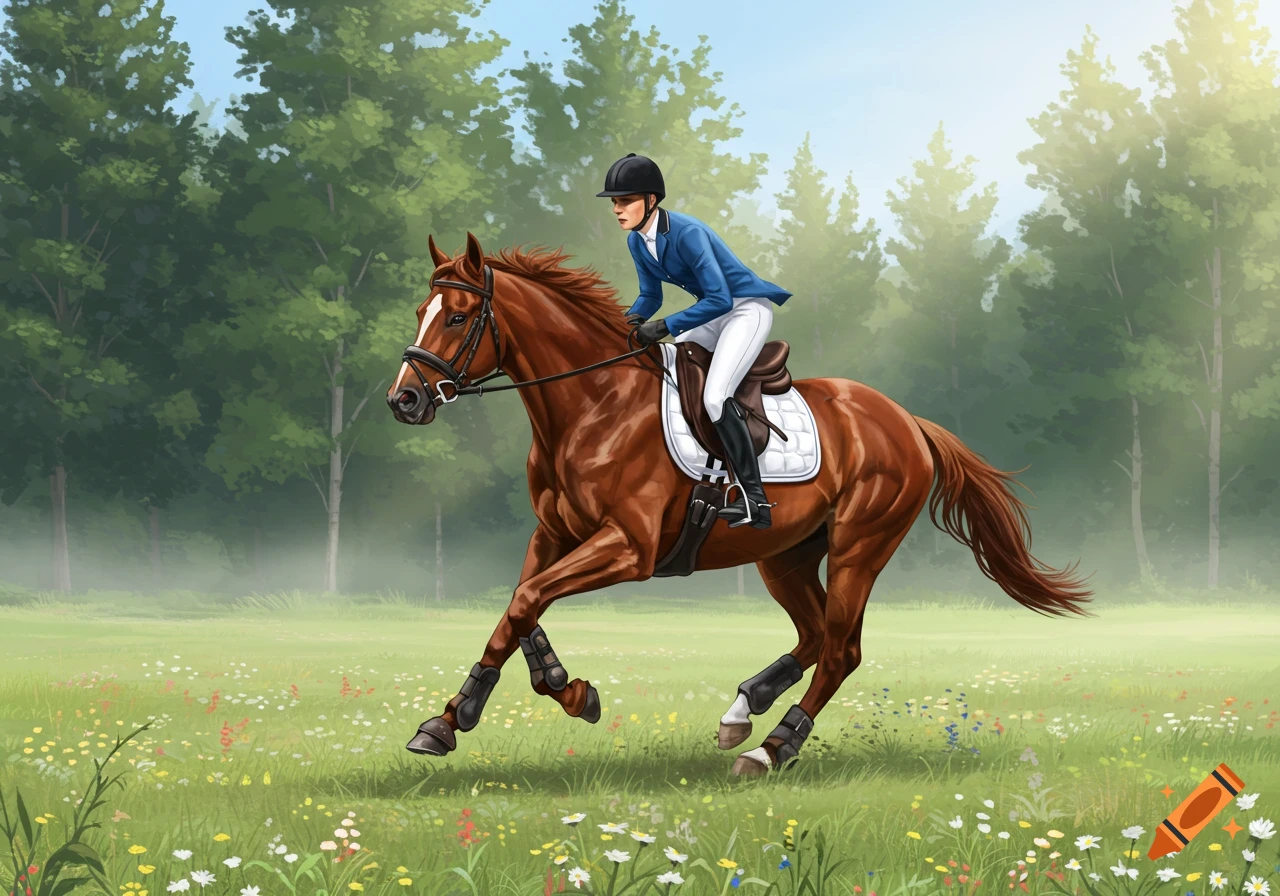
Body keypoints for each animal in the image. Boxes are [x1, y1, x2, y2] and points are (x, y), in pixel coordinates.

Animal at [385, 231, 1092, 776]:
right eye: (422, 308)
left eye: (455, 317)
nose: (404, 401)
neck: (592, 406)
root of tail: (907, 421)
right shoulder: (554, 533)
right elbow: (520, 606)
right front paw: (503, 704)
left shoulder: (630, 547)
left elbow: (529, 598)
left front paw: (493, 709)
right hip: (784, 553)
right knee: (815, 634)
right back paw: (743, 709)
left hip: (861, 545)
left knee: (841, 650)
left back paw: (771, 748)